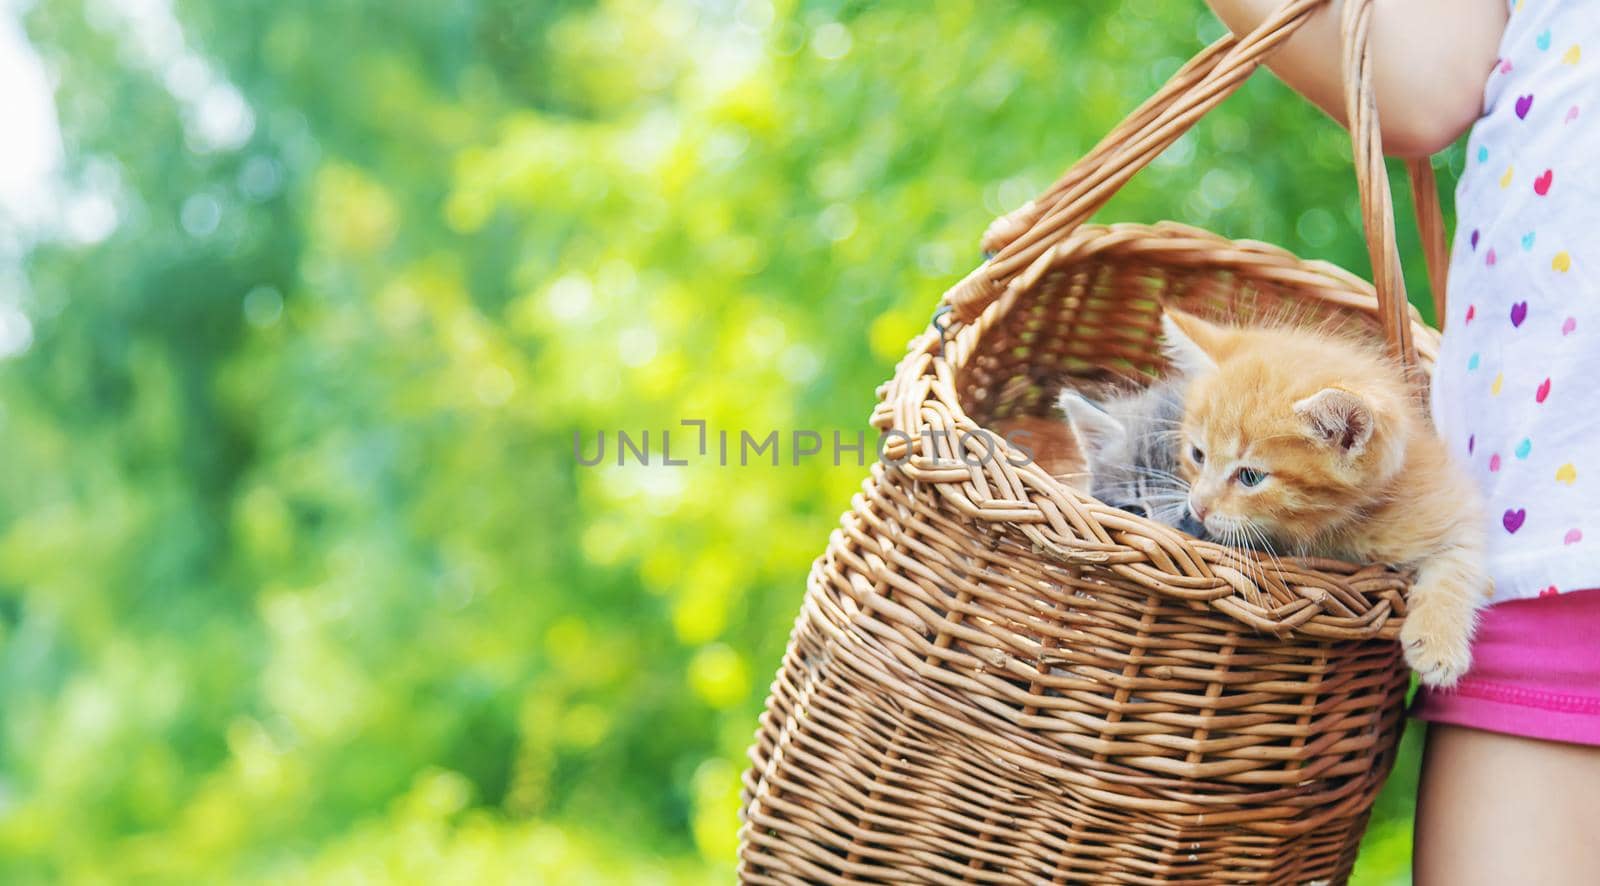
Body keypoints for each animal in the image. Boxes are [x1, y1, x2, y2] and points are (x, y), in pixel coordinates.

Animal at [1164, 307, 1484, 687]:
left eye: (1250, 477)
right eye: (1197, 455)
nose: (1198, 507)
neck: (1332, 528)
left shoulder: (1450, 502)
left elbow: (1461, 560)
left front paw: (1438, 645)